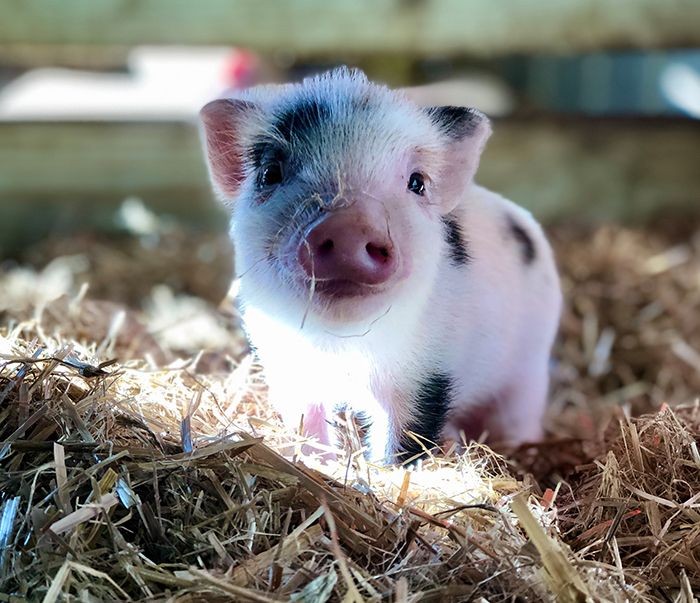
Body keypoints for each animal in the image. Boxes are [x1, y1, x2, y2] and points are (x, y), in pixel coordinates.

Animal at [200, 67, 562, 464]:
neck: (340, 346)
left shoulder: (428, 372)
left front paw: (387, 470)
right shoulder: (286, 362)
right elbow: (307, 422)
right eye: (270, 172)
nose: (350, 226)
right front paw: (317, 461)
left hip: (531, 362)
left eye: (417, 182)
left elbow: (406, 435)